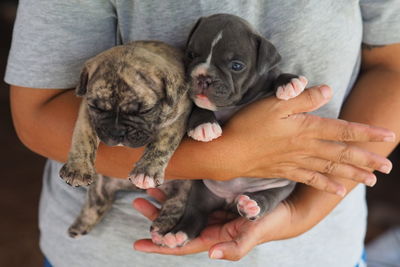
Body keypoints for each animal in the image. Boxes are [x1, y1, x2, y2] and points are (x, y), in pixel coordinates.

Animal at [57, 40, 192, 238]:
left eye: (145, 111)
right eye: (97, 108)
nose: (117, 131)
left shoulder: (179, 115)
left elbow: (162, 143)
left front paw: (146, 171)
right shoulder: (86, 110)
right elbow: (83, 135)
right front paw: (77, 169)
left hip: (185, 186)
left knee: (178, 201)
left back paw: (163, 225)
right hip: (100, 186)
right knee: (97, 203)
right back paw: (80, 225)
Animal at [150, 14, 306, 249]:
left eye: (236, 65)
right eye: (191, 54)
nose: (202, 77)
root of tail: (231, 199)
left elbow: (275, 75)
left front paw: (290, 81)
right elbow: (199, 108)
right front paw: (204, 125)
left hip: (279, 189)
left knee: (268, 200)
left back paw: (252, 205)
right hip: (203, 193)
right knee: (196, 213)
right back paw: (178, 233)